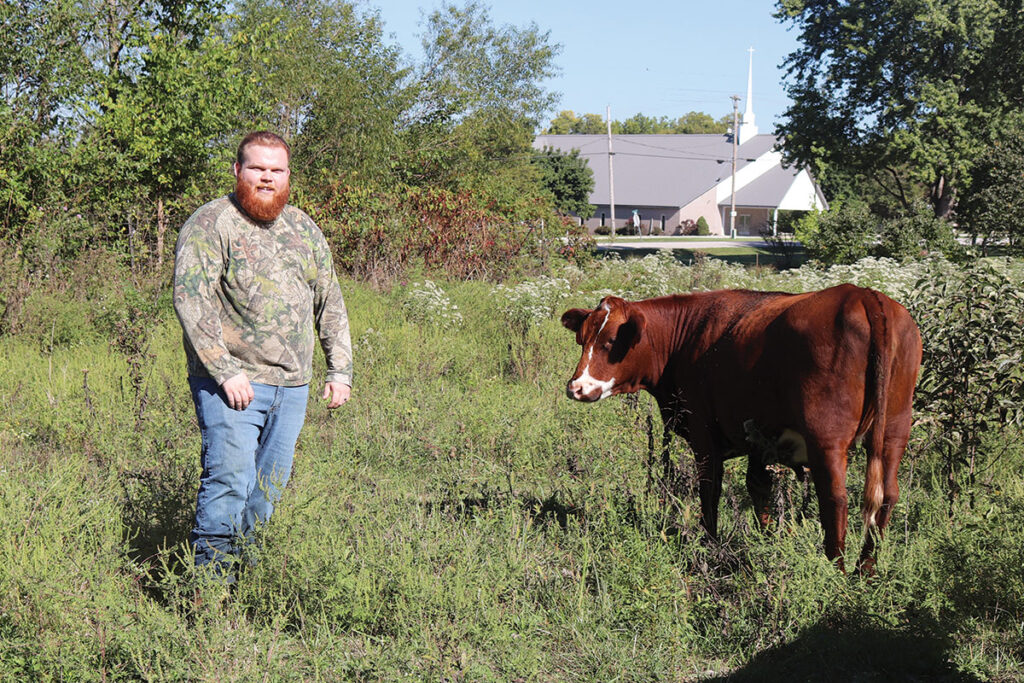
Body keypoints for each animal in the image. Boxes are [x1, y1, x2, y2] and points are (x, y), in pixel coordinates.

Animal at [565, 282, 925, 573]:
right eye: (582, 339)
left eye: (612, 341)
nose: (576, 387)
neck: (685, 339)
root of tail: (862, 295)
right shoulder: (759, 442)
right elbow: (759, 489)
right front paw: (768, 542)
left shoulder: (704, 437)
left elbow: (709, 492)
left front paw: (710, 545)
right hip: (894, 429)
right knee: (887, 495)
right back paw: (867, 569)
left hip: (827, 439)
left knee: (835, 499)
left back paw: (834, 571)